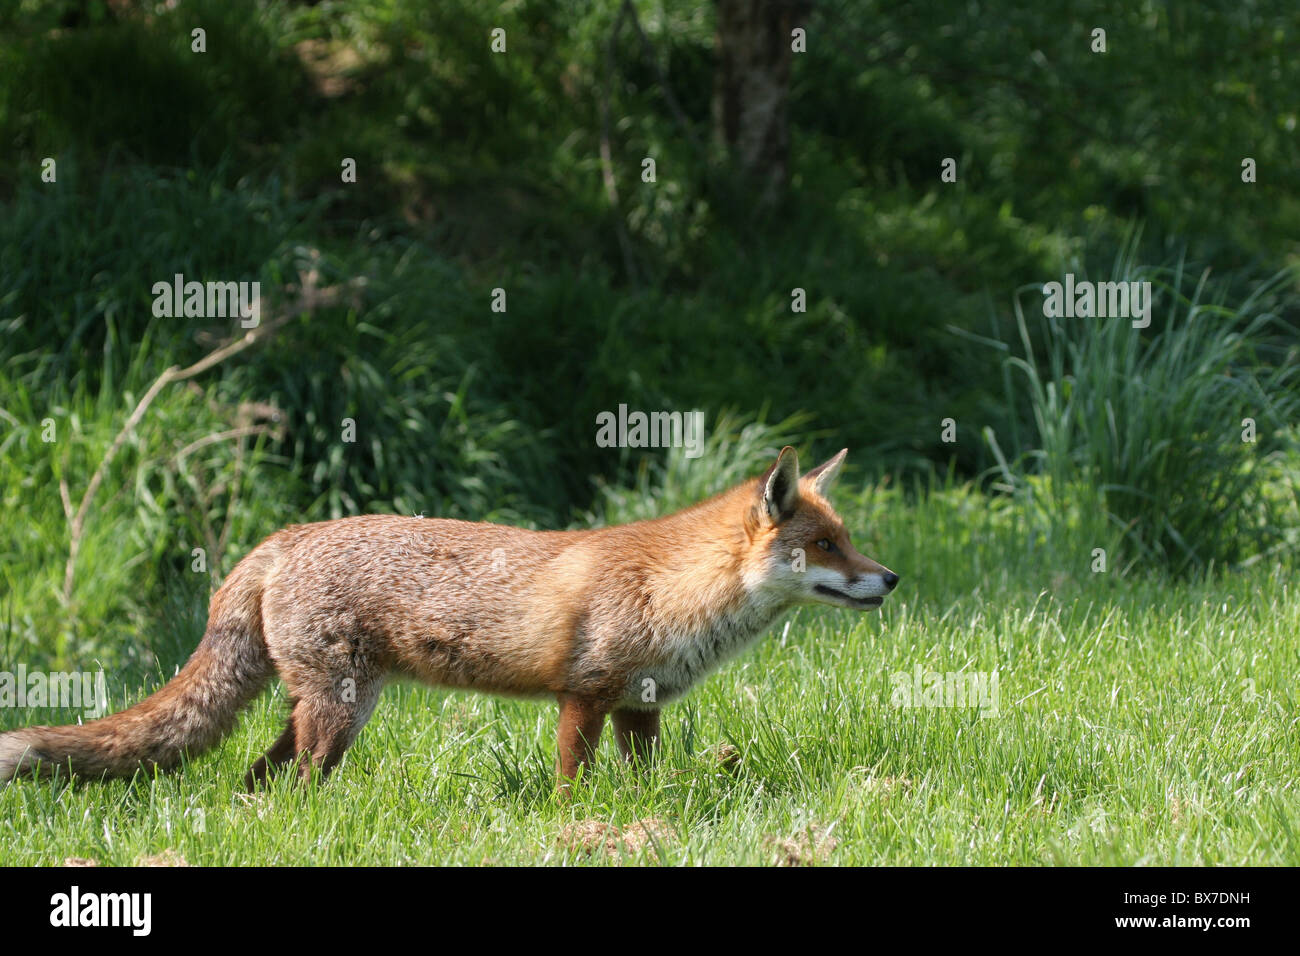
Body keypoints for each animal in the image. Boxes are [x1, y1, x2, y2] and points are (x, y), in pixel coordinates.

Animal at [0, 447, 894, 785]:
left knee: (257, 778)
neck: (674, 593)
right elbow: (571, 786)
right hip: (342, 711)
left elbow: (646, 783)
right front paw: (577, 827)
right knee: (297, 784)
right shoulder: (583, 697)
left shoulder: (639, 709)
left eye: (848, 539)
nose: (889, 578)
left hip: (317, 709)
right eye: (824, 545)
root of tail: (287, 536)